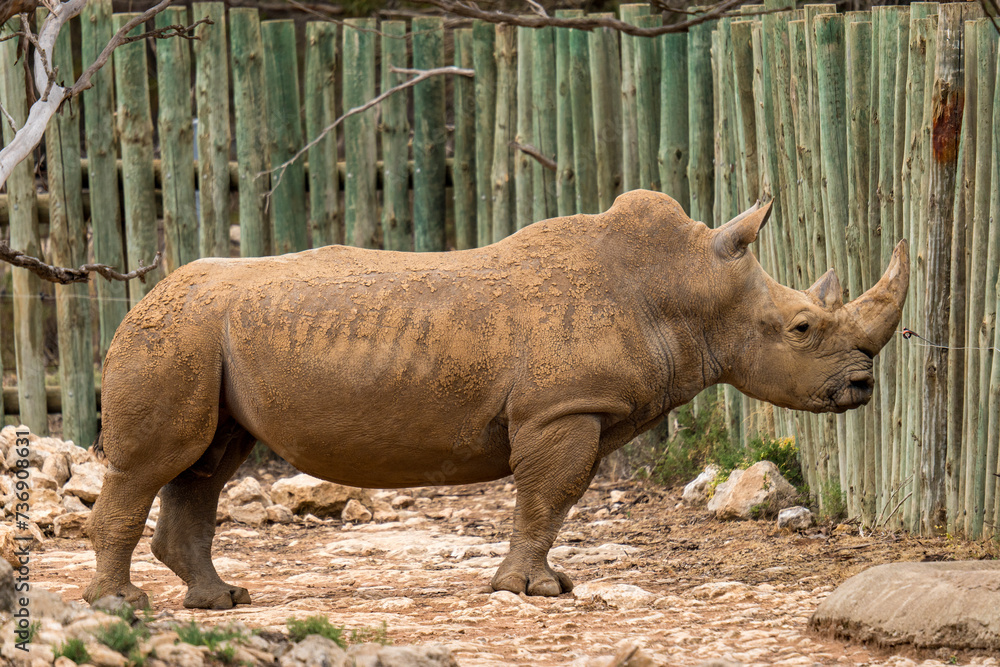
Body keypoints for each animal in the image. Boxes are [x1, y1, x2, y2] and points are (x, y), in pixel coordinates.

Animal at [83, 190, 908, 610]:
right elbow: (549, 496)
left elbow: (556, 501)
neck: (685, 289)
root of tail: (143, 295)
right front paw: (533, 590)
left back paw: (220, 600)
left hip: (204, 338)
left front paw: (549, 583)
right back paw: (120, 607)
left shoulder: (588, 410)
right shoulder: (562, 409)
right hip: (173, 335)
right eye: (802, 327)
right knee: (155, 463)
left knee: (206, 463)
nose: (862, 386)